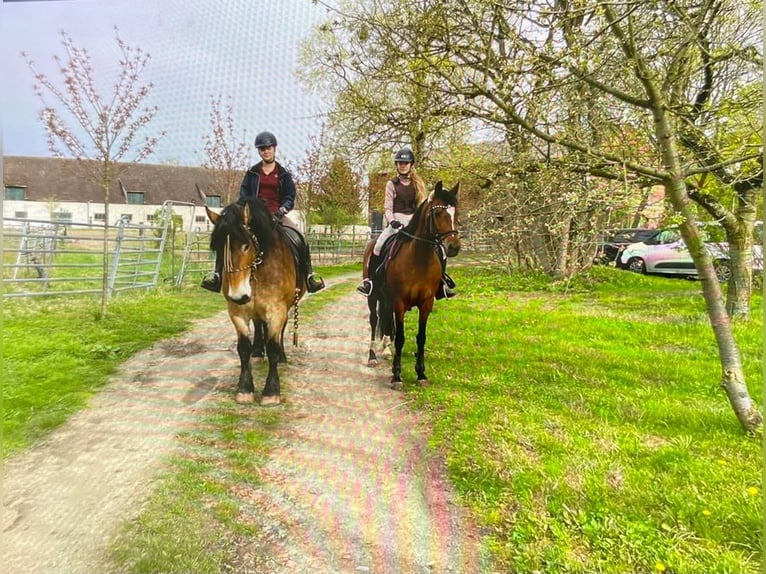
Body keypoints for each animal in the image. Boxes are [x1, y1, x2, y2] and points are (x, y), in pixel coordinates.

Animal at [204, 200, 306, 408]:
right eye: (219, 248)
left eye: (245, 245)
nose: (239, 295)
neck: (258, 269)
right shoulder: (237, 311)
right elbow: (243, 348)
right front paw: (244, 389)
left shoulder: (277, 311)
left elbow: (273, 346)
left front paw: (271, 392)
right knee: (259, 326)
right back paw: (258, 352)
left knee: (280, 330)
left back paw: (281, 357)